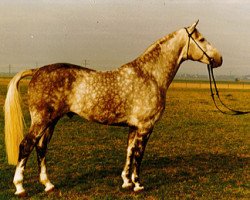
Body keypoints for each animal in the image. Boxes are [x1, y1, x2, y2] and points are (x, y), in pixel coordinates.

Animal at [4, 20, 223, 197]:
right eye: (201, 39)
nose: (219, 59)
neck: (150, 75)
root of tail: (36, 70)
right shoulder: (146, 126)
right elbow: (139, 155)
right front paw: (138, 185)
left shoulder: (133, 127)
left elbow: (129, 151)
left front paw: (126, 182)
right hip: (42, 120)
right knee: (26, 145)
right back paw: (20, 187)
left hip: (51, 122)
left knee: (41, 148)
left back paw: (48, 185)